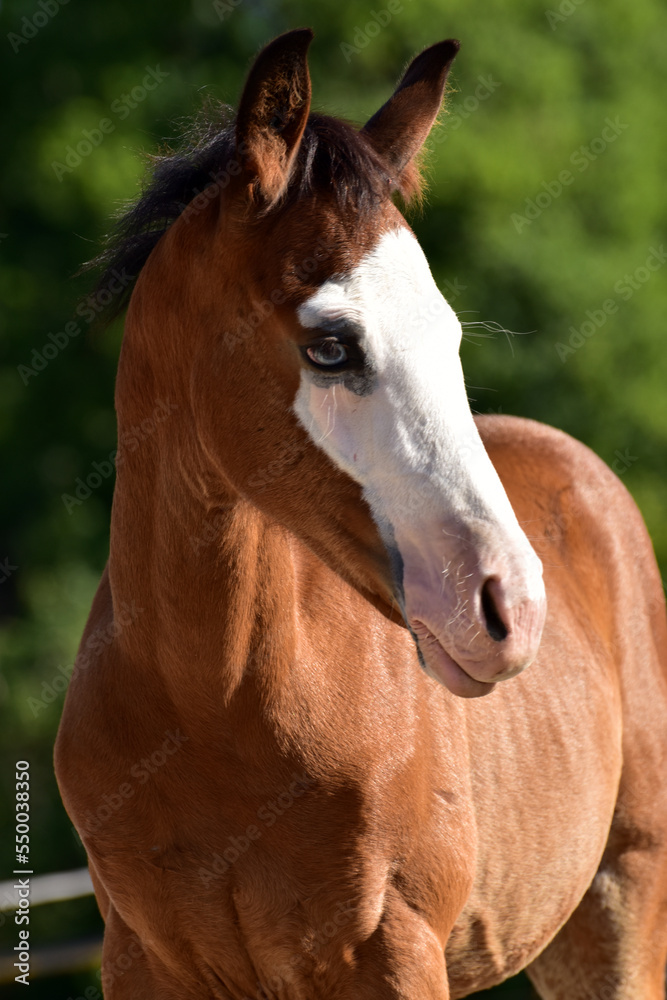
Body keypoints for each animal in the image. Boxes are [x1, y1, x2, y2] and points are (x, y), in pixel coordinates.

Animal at [55, 28, 667, 999]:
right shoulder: (141, 961)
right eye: (331, 346)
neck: (211, 709)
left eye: (447, 335)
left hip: (622, 909)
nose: (507, 606)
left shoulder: (391, 949)